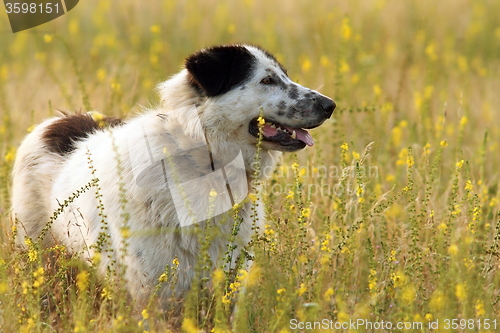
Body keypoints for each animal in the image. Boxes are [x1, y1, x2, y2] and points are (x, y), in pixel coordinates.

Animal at [10, 44, 336, 306]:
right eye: (267, 80)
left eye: (284, 76)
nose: (330, 105)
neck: (203, 158)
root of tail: (56, 121)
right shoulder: (152, 291)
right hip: (40, 254)